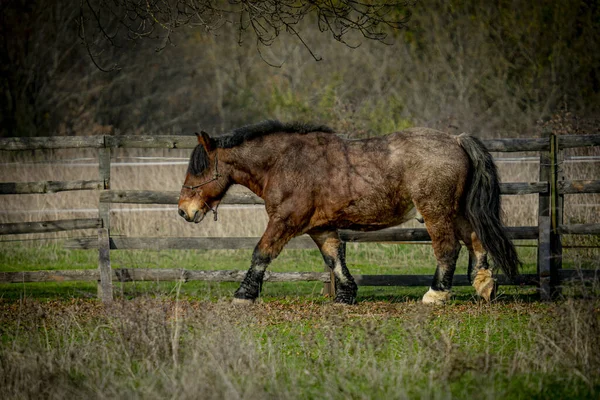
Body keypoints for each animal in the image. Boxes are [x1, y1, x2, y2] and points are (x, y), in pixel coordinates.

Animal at [176, 120, 516, 304]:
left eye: (199, 169)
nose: (183, 211)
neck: (285, 162)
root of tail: (456, 140)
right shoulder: (319, 226)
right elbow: (334, 258)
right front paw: (346, 295)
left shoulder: (285, 221)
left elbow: (261, 253)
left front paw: (244, 293)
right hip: (457, 212)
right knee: (475, 240)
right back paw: (484, 286)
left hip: (436, 211)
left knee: (447, 248)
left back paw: (436, 294)